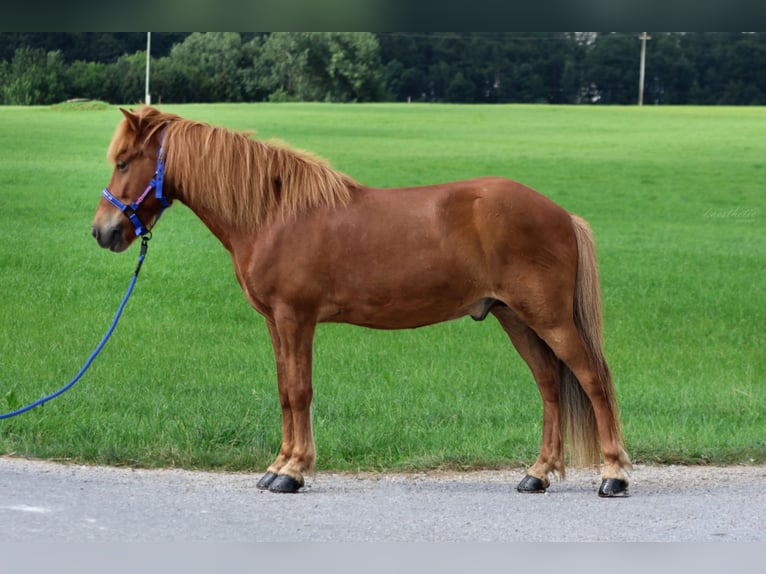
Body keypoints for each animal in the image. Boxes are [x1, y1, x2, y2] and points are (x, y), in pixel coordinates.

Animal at [90, 108, 632, 500]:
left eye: (123, 161)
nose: (102, 232)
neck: (273, 215)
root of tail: (562, 214)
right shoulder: (276, 323)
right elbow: (284, 390)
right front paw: (279, 464)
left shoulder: (296, 319)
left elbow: (299, 392)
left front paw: (293, 471)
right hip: (515, 318)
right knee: (549, 386)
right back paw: (537, 474)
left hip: (549, 318)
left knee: (592, 379)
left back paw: (614, 474)